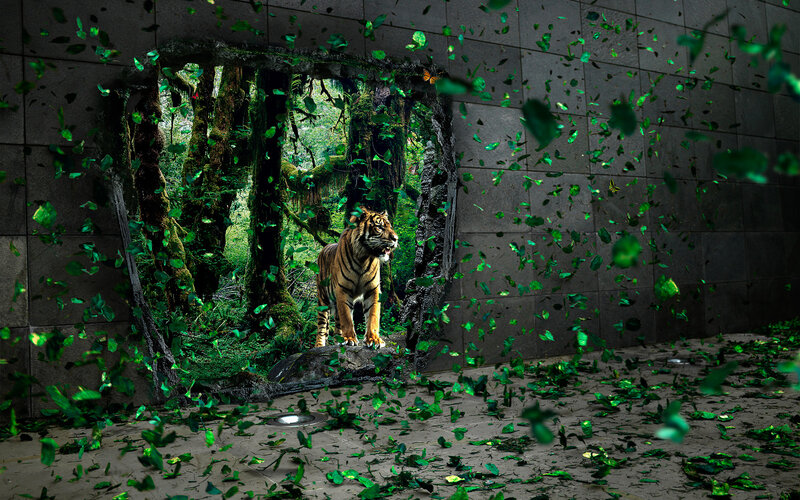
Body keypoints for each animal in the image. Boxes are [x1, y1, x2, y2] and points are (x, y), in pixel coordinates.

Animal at [314, 208, 399, 348]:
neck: (363, 257)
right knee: (322, 327)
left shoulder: (373, 289)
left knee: (337, 324)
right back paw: (320, 345)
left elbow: (373, 315)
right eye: (379, 227)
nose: (396, 239)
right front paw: (349, 339)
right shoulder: (343, 289)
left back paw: (338, 340)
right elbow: (347, 317)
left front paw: (374, 339)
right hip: (323, 300)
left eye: (390, 226)